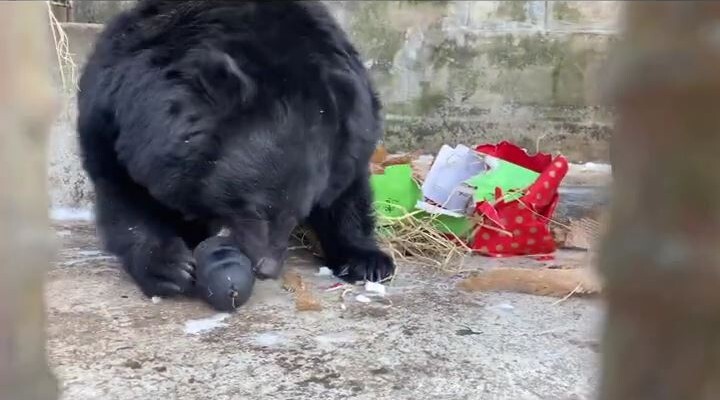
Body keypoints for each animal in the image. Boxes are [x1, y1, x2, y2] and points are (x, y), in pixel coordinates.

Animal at [76, 0, 396, 308]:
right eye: (256, 209)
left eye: (298, 213)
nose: (266, 268)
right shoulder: (114, 119)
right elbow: (127, 196)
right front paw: (169, 267)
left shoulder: (353, 126)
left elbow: (347, 191)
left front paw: (369, 262)